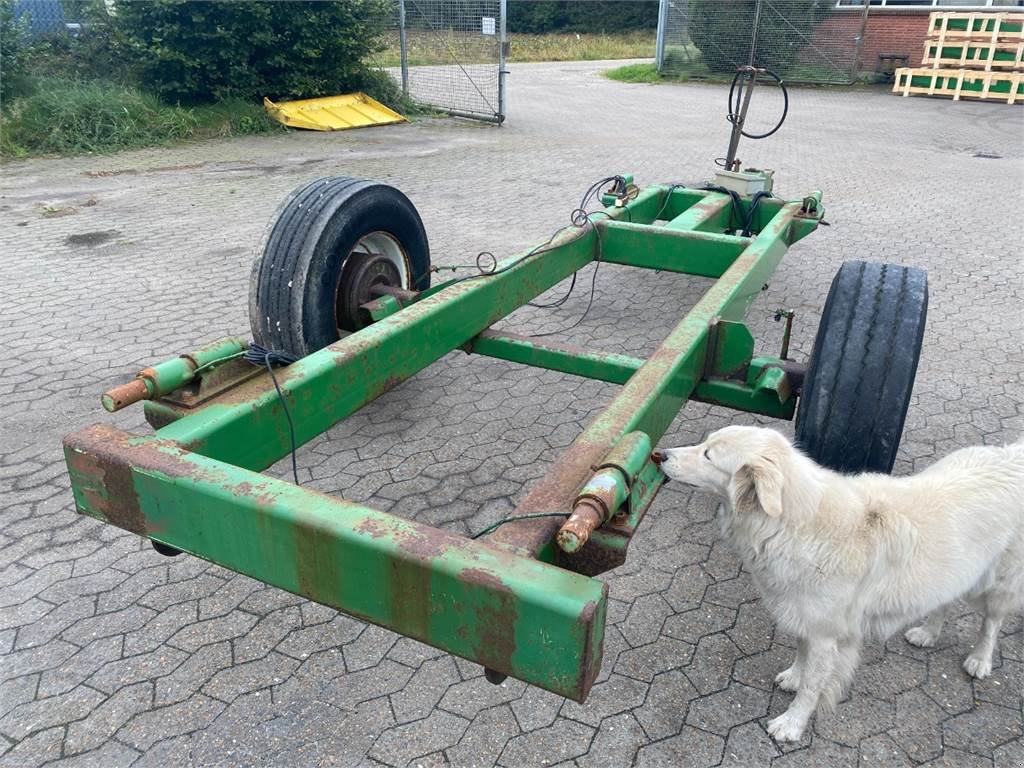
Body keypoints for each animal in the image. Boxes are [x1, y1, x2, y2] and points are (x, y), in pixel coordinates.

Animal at [655, 428, 1024, 745]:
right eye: (705, 443)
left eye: (708, 455)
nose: (660, 455)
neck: (791, 525)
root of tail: (1012, 455)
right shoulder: (806, 617)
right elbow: (802, 656)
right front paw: (794, 676)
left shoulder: (826, 633)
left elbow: (813, 687)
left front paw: (792, 724)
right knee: (944, 601)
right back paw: (928, 633)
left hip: (998, 582)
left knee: (991, 623)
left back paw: (980, 660)